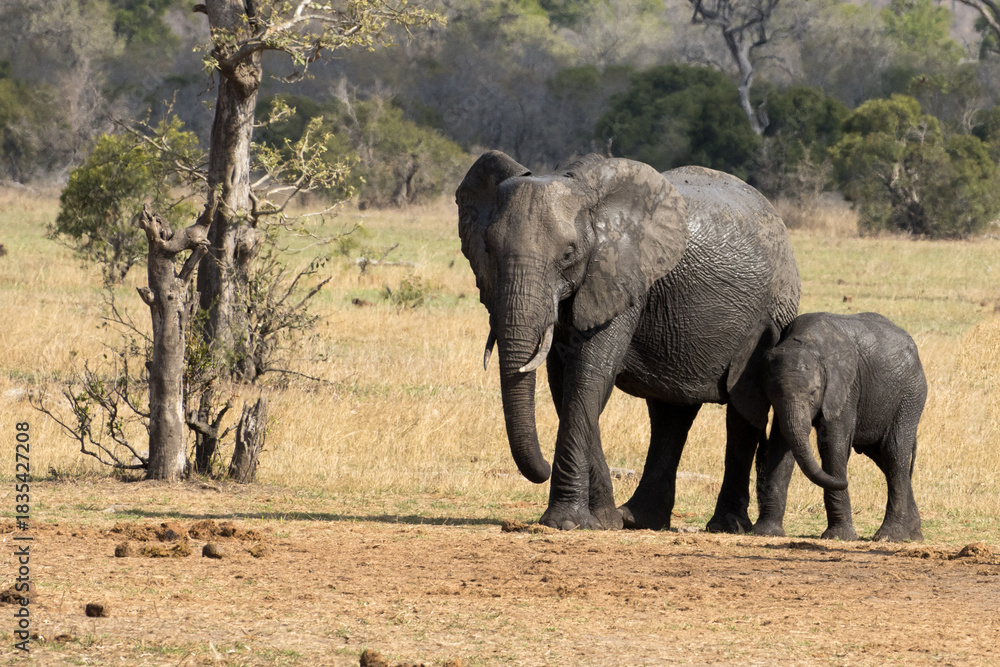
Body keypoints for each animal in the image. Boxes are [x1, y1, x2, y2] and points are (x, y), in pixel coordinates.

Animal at [457, 150, 801, 531]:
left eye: (568, 254)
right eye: (488, 249)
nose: (542, 468)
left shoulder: (623, 278)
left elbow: (588, 376)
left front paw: (567, 523)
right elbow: (565, 383)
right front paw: (604, 521)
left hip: (774, 309)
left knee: (741, 410)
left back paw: (725, 525)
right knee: (671, 414)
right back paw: (638, 518)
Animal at [753, 312, 926, 542]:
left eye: (813, 394)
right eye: (771, 395)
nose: (846, 481)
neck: (806, 341)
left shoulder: (845, 387)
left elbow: (832, 445)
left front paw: (840, 537)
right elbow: (781, 446)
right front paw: (767, 533)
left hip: (910, 396)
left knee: (894, 454)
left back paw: (889, 536)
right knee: (886, 460)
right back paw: (913, 536)